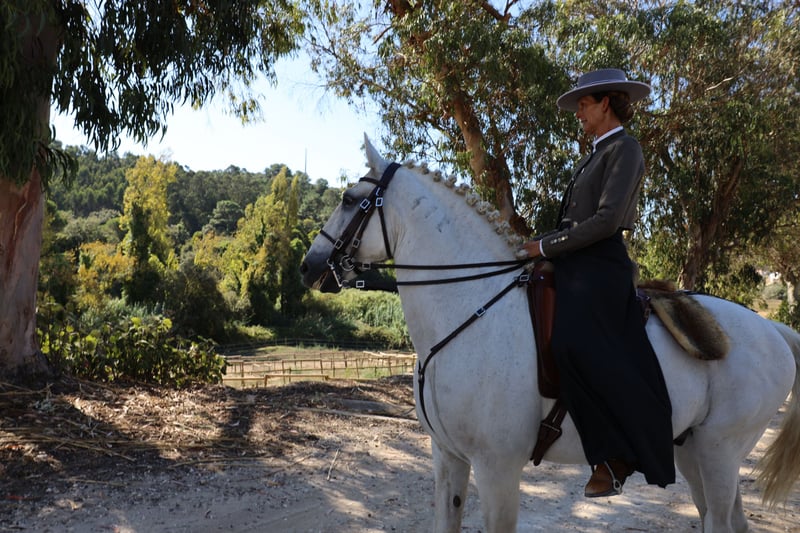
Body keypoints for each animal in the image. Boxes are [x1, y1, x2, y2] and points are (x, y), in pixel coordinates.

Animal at [300, 135, 800, 532]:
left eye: (349, 199)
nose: (308, 266)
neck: (472, 310)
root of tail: (771, 329)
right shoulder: (448, 458)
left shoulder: (498, 470)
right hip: (693, 451)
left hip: (719, 453)